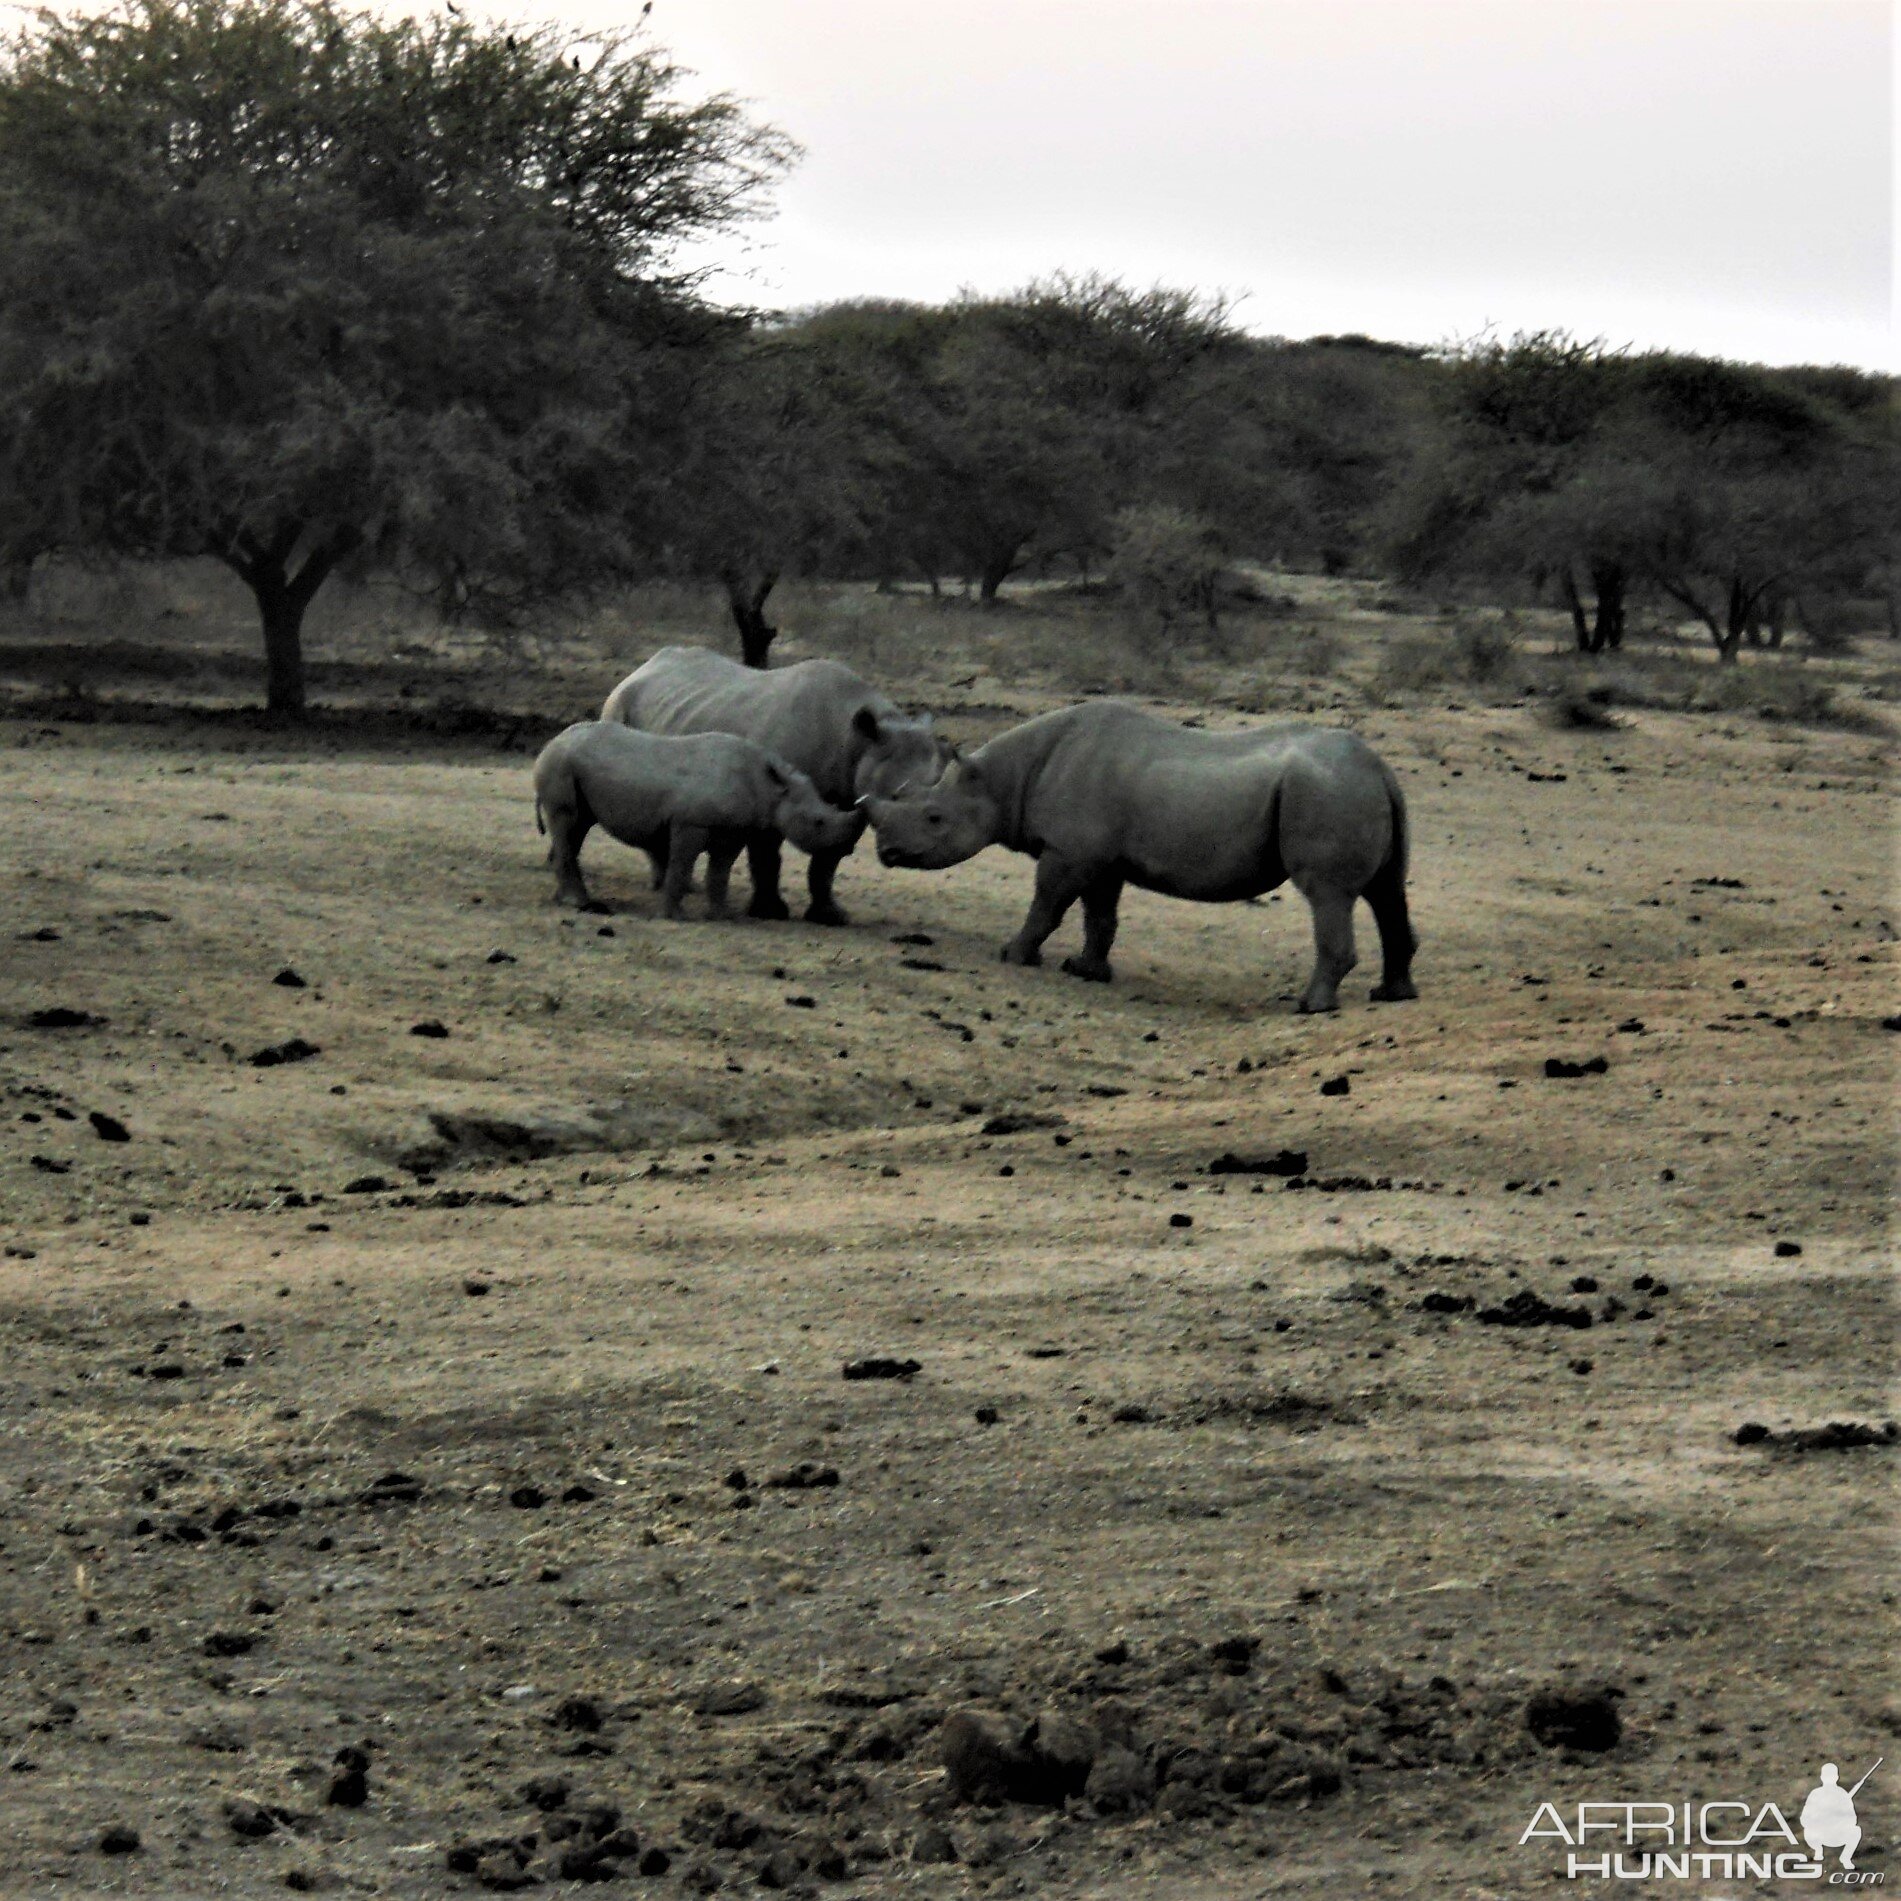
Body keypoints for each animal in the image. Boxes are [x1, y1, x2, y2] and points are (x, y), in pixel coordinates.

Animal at [536, 718, 863, 920]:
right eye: (818, 822)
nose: (846, 849)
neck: (771, 787)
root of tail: (551, 742)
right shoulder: (690, 823)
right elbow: (681, 866)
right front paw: (674, 918)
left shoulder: (734, 831)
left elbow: (720, 872)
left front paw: (722, 917)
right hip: (560, 764)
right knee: (567, 821)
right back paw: (579, 903)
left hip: (571, 766)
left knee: (577, 828)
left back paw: (564, 899)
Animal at [870, 707, 1421, 1018]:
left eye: (934, 818)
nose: (885, 854)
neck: (1005, 779)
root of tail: (1380, 768)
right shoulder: (1099, 857)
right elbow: (1100, 916)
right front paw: (1085, 971)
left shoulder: (1070, 851)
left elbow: (1047, 904)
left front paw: (1013, 955)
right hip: (1349, 789)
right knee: (1387, 892)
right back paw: (1392, 995)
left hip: (1325, 791)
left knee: (1328, 894)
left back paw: (1310, 1007)